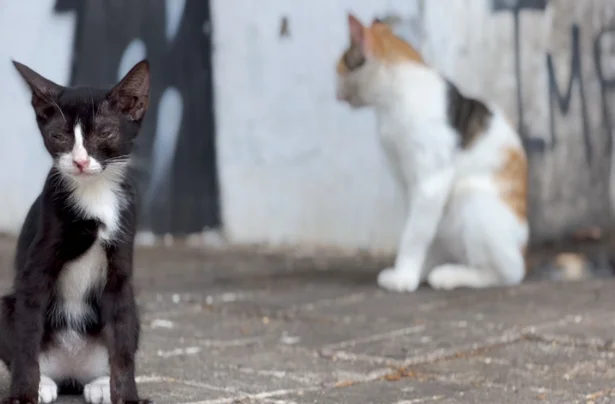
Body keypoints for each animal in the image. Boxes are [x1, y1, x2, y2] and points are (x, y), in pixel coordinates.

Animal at [0, 60, 153, 404]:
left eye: (106, 133)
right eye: (58, 136)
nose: (81, 161)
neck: (94, 193)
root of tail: (71, 372)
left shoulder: (120, 265)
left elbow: (122, 342)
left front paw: (128, 395)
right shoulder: (38, 262)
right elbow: (26, 333)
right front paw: (24, 393)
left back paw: (100, 383)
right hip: (6, 306)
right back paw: (44, 382)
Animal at [336, 14, 528, 292]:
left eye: (339, 69)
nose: (336, 92)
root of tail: (524, 251)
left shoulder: (432, 180)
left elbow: (414, 233)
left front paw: (403, 276)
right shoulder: (406, 180)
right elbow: (417, 225)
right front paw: (415, 270)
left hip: (472, 199)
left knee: (507, 273)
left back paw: (450, 275)